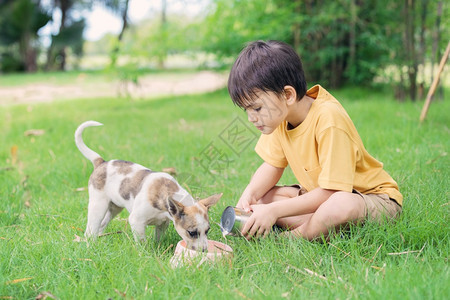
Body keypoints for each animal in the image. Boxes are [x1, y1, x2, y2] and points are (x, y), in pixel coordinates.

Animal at [74, 120, 221, 251]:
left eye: (207, 230)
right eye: (192, 233)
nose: (204, 250)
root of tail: (102, 162)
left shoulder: (163, 224)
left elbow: (158, 239)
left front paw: (158, 248)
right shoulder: (136, 221)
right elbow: (142, 243)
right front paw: (144, 253)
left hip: (114, 208)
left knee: (102, 225)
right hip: (98, 206)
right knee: (91, 229)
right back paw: (91, 244)